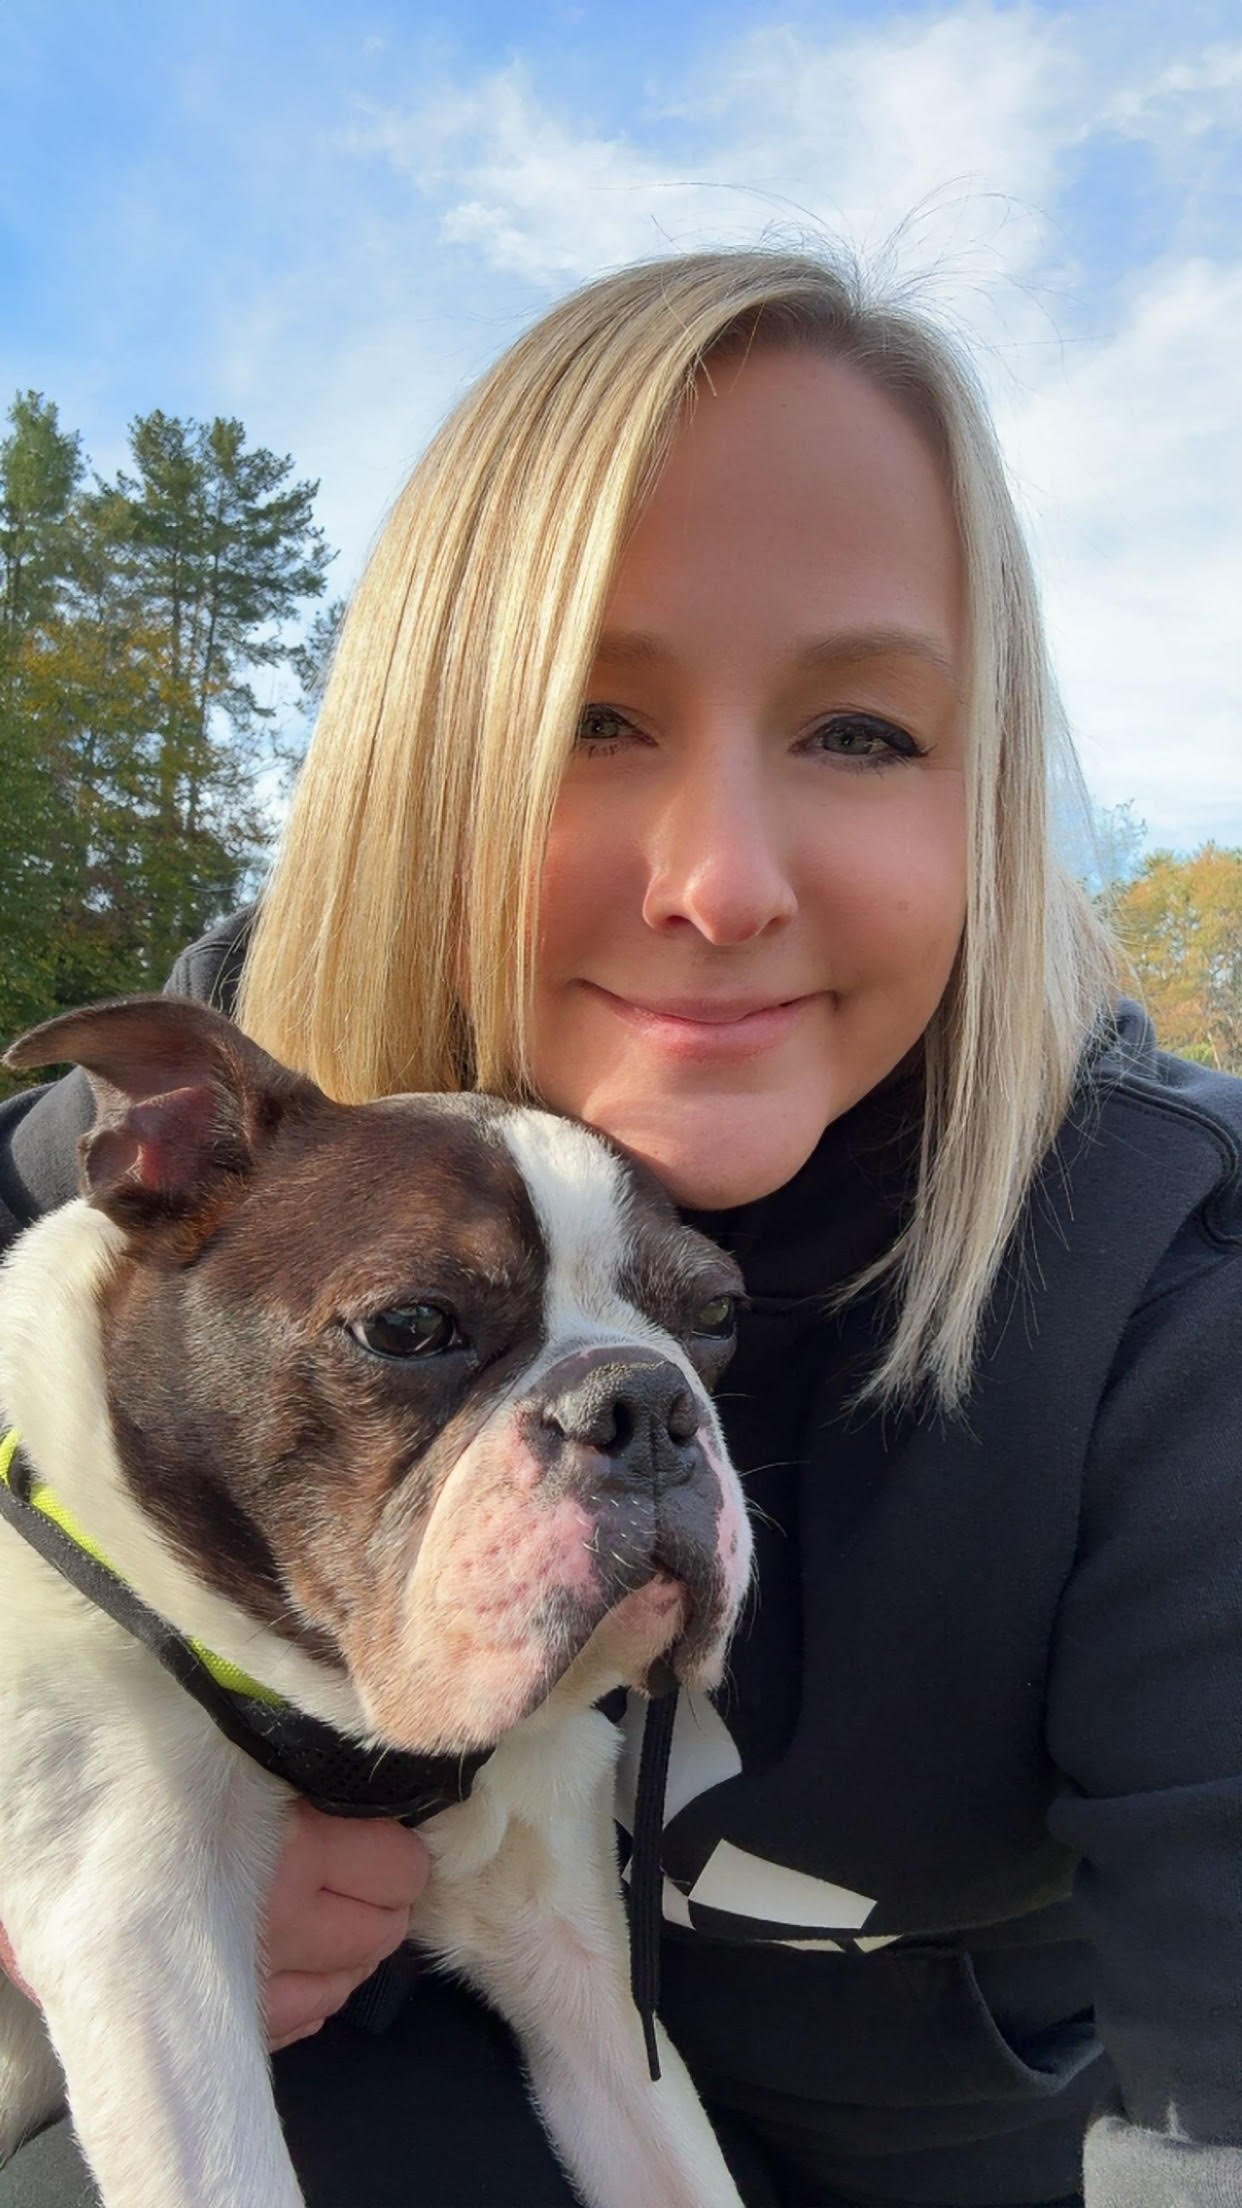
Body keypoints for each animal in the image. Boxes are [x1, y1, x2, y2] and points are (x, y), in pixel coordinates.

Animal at [0, 994, 753, 2208]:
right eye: (409, 1327)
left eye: (721, 1312)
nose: (646, 1404)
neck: (349, 1729)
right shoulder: (145, 1945)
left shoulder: (581, 1966)